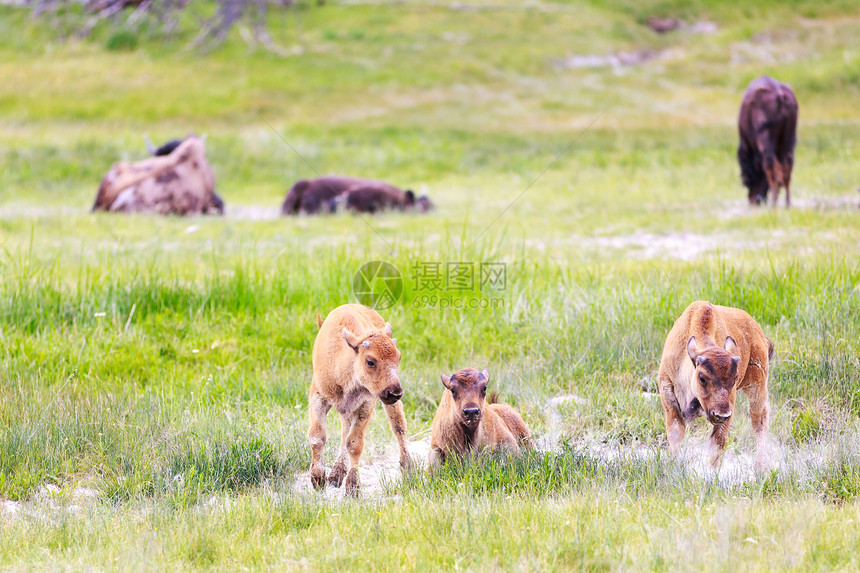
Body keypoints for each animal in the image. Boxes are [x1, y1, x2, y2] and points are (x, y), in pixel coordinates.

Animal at [308, 302, 412, 494]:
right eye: (370, 361)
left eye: (398, 357)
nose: (395, 393)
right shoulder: (318, 398)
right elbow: (317, 438)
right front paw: (318, 480)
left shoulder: (366, 404)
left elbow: (355, 444)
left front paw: (352, 487)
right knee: (344, 432)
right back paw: (335, 475)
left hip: (387, 405)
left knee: (398, 427)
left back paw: (409, 469)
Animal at [660, 302, 772, 472]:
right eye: (702, 378)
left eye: (735, 378)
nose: (721, 415)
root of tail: (756, 330)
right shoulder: (667, 391)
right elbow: (676, 432)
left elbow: (717, 442)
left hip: (757, 386)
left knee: (759, 423)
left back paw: (760, 466)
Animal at [740, 76, 800, 208]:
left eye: (746, 179)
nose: (754, 201)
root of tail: (780, 96)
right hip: (789, 139)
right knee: (787, 167)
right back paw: (787, 205)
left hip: (765, 140)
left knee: (771, 166)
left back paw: (774, 205)